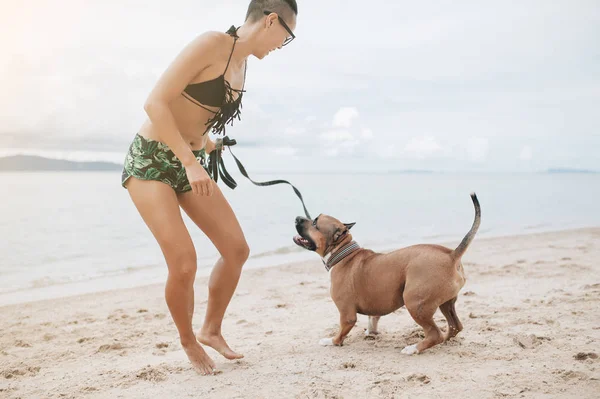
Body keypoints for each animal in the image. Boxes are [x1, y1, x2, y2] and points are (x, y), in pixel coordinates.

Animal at [292, 194, 480, 356]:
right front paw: (371, 332)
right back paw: (444, 341)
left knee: (435, 333)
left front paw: (331, 341)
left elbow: (341, 333)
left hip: (414, 303)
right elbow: (373, 318)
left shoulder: (347, 315)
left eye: (315, 223)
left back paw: (413, 348)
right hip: (446, 303)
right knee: (454, 327)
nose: (297, 217)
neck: (343, 252)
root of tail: (452, 255)